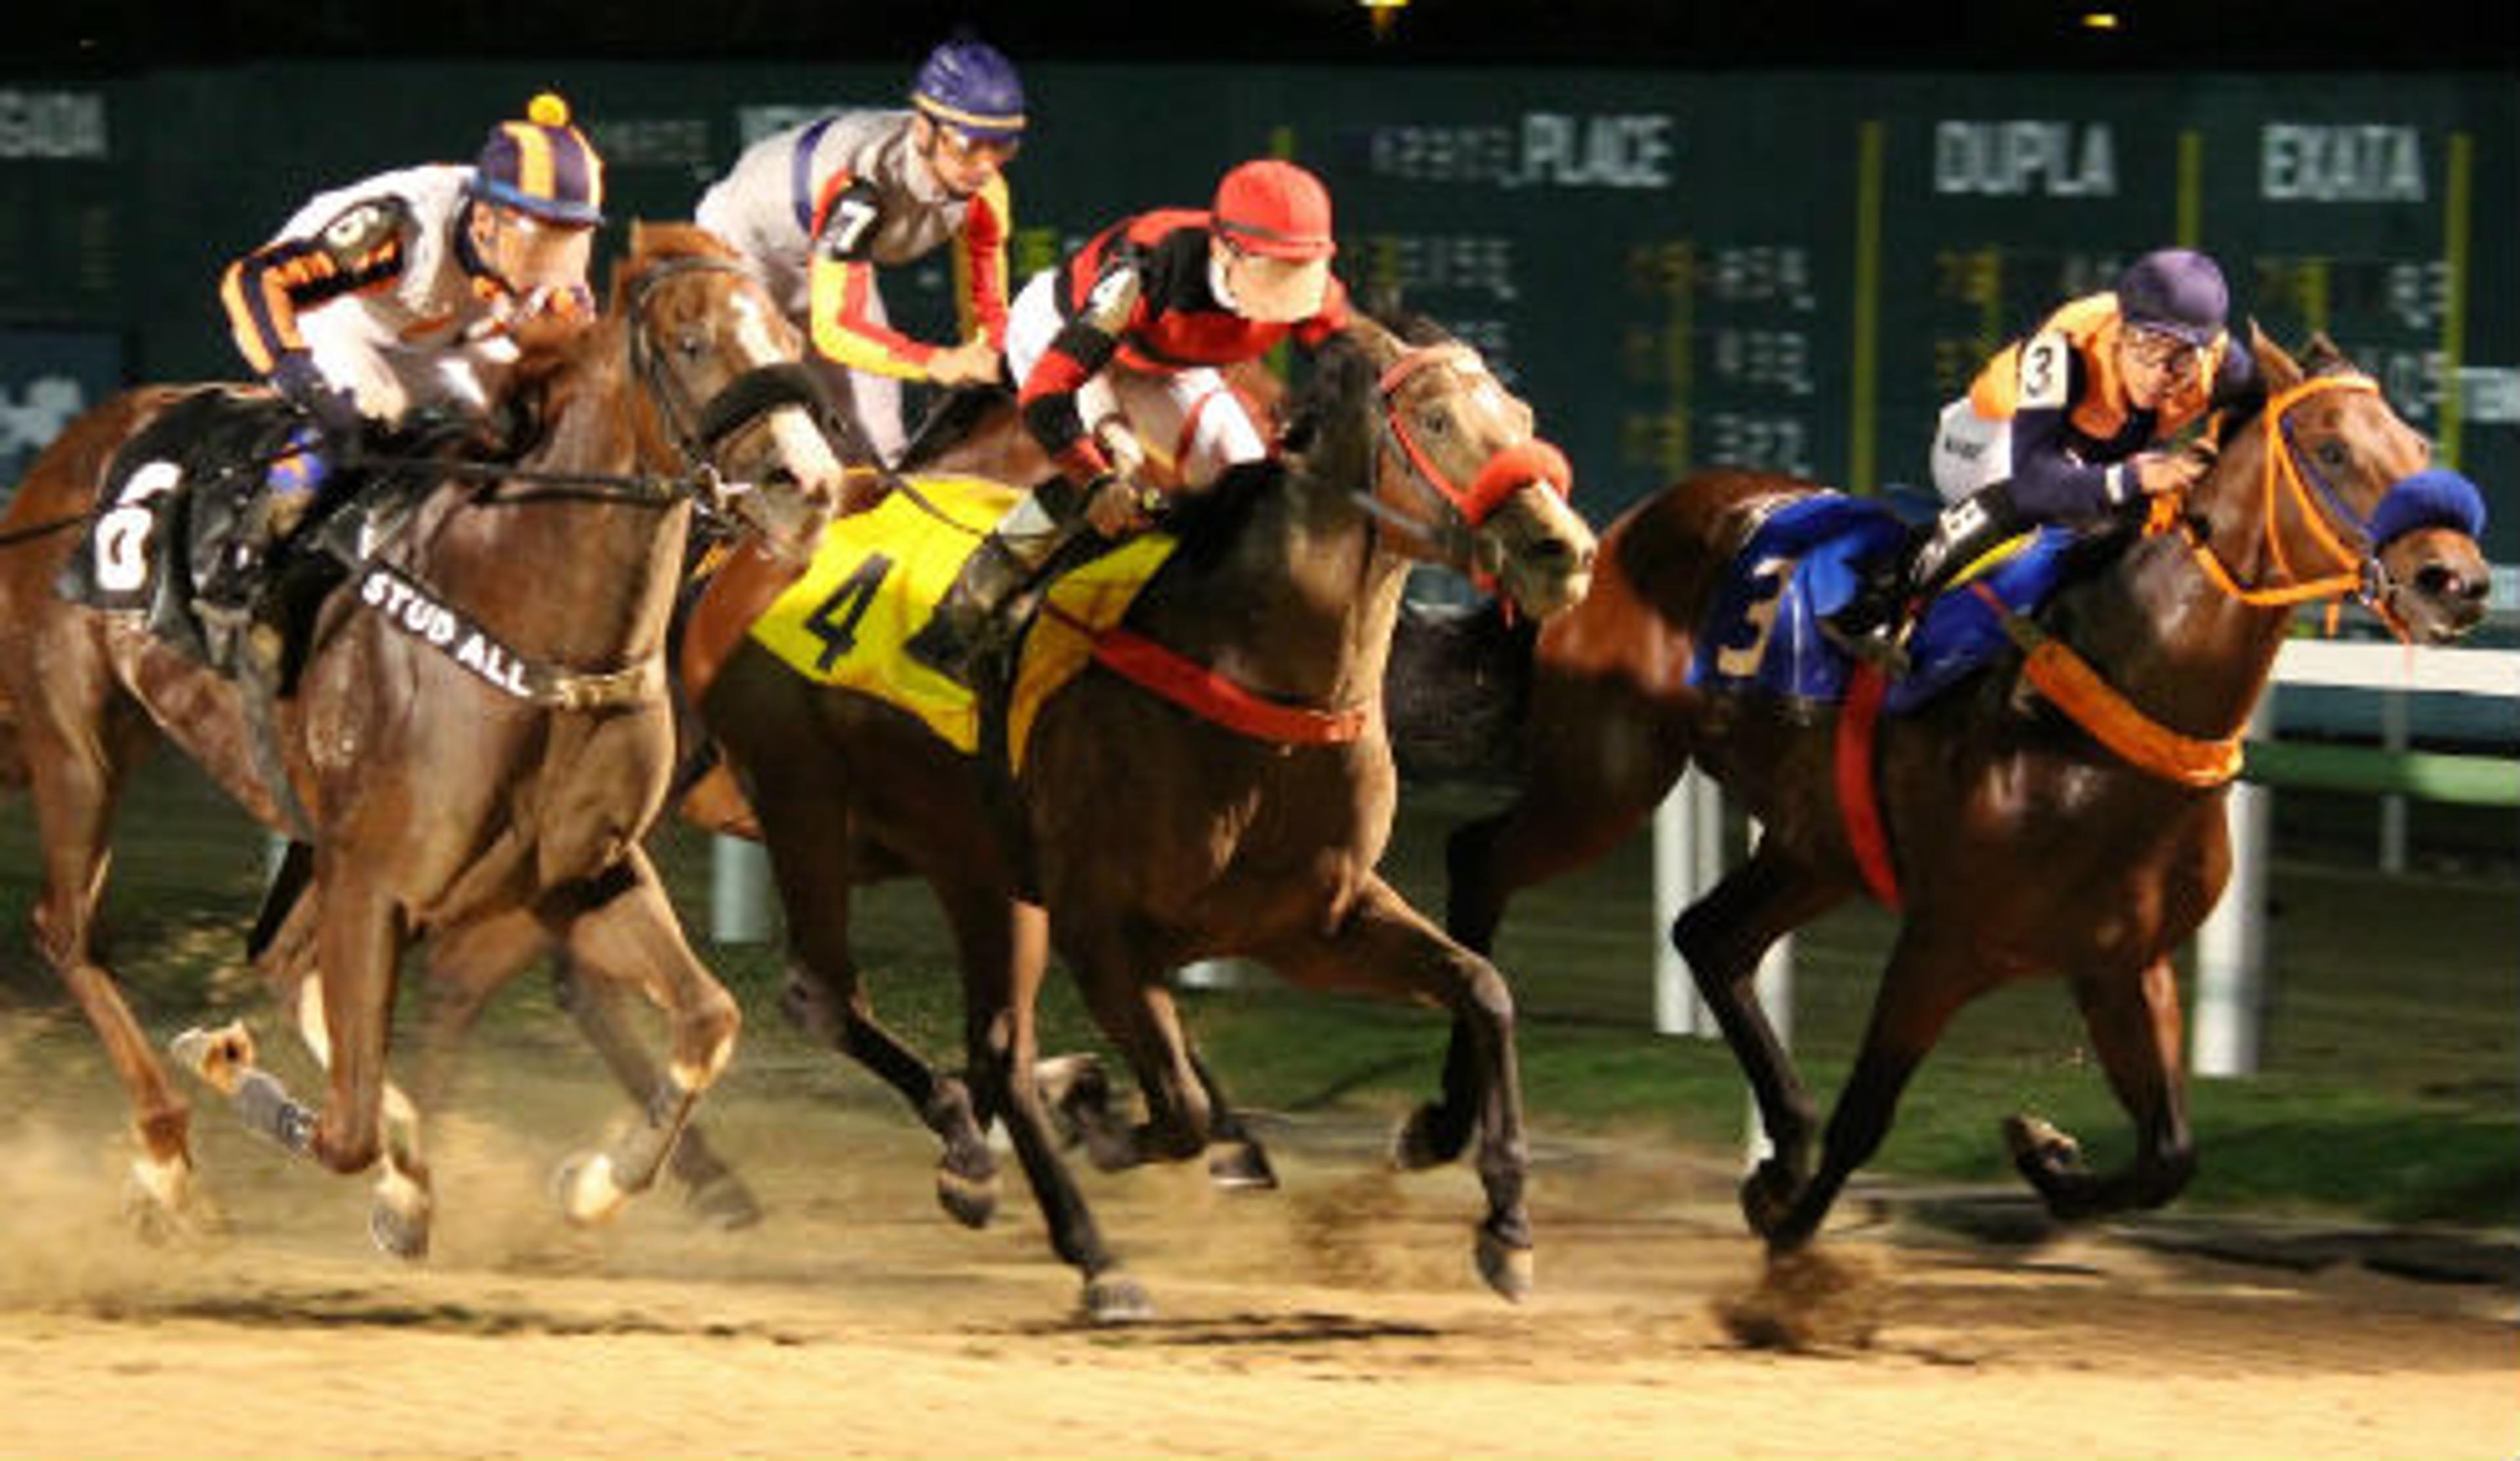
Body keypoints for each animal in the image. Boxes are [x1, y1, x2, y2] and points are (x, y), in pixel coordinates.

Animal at [0, 222, 847, 1249]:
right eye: (691, 343)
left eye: (791, 341)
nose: (810, 486)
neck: (528, 624)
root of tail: (62, 459)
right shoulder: (373, 876)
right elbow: (346, 1130)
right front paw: (234, 1070)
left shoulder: (579, 873)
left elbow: (708, 1020)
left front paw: (593, 1182)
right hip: (77, 745)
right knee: (70, 931)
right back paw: (165, 1155)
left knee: (280, 962)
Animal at [690, 314, 1592, 1319]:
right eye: (1435, 419)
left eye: (1519, 414)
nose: (1561, 549)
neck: (1250, 681)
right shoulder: (1103, 928)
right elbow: (1182, 1109)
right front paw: (1103, 1116)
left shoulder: (1311, 920)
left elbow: (1485, 988)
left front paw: (1502, 1218)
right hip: (806, 799)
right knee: (831, 996)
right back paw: (1052, 1213)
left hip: (975, 861)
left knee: (997, 1047)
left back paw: (1041, 1203)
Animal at [1431, 329, 2489, 1254]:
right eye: (2332, 447)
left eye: (2418, 447)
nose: (2459, 580)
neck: (2108, 690)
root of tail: (1627, 523)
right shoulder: (1944, 942)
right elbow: (1868, 1112)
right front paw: (1788, 1259)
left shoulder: (2120, 960)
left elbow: (2169, 1155)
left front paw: (2044, 1154)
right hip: (1607, 775)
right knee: (1481, 859)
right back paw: (1449, 1114)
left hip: (1817, 841)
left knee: (1709, 936)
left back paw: (1777, 1145)